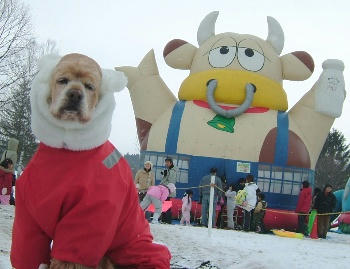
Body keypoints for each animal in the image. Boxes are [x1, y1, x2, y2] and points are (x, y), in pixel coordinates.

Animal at [10, 53, 170, 266]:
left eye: (89, 86)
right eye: (62, 80)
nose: (75, 94)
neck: (67, 148)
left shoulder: (88, 217)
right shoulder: (29, 217)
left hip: (132, 248)